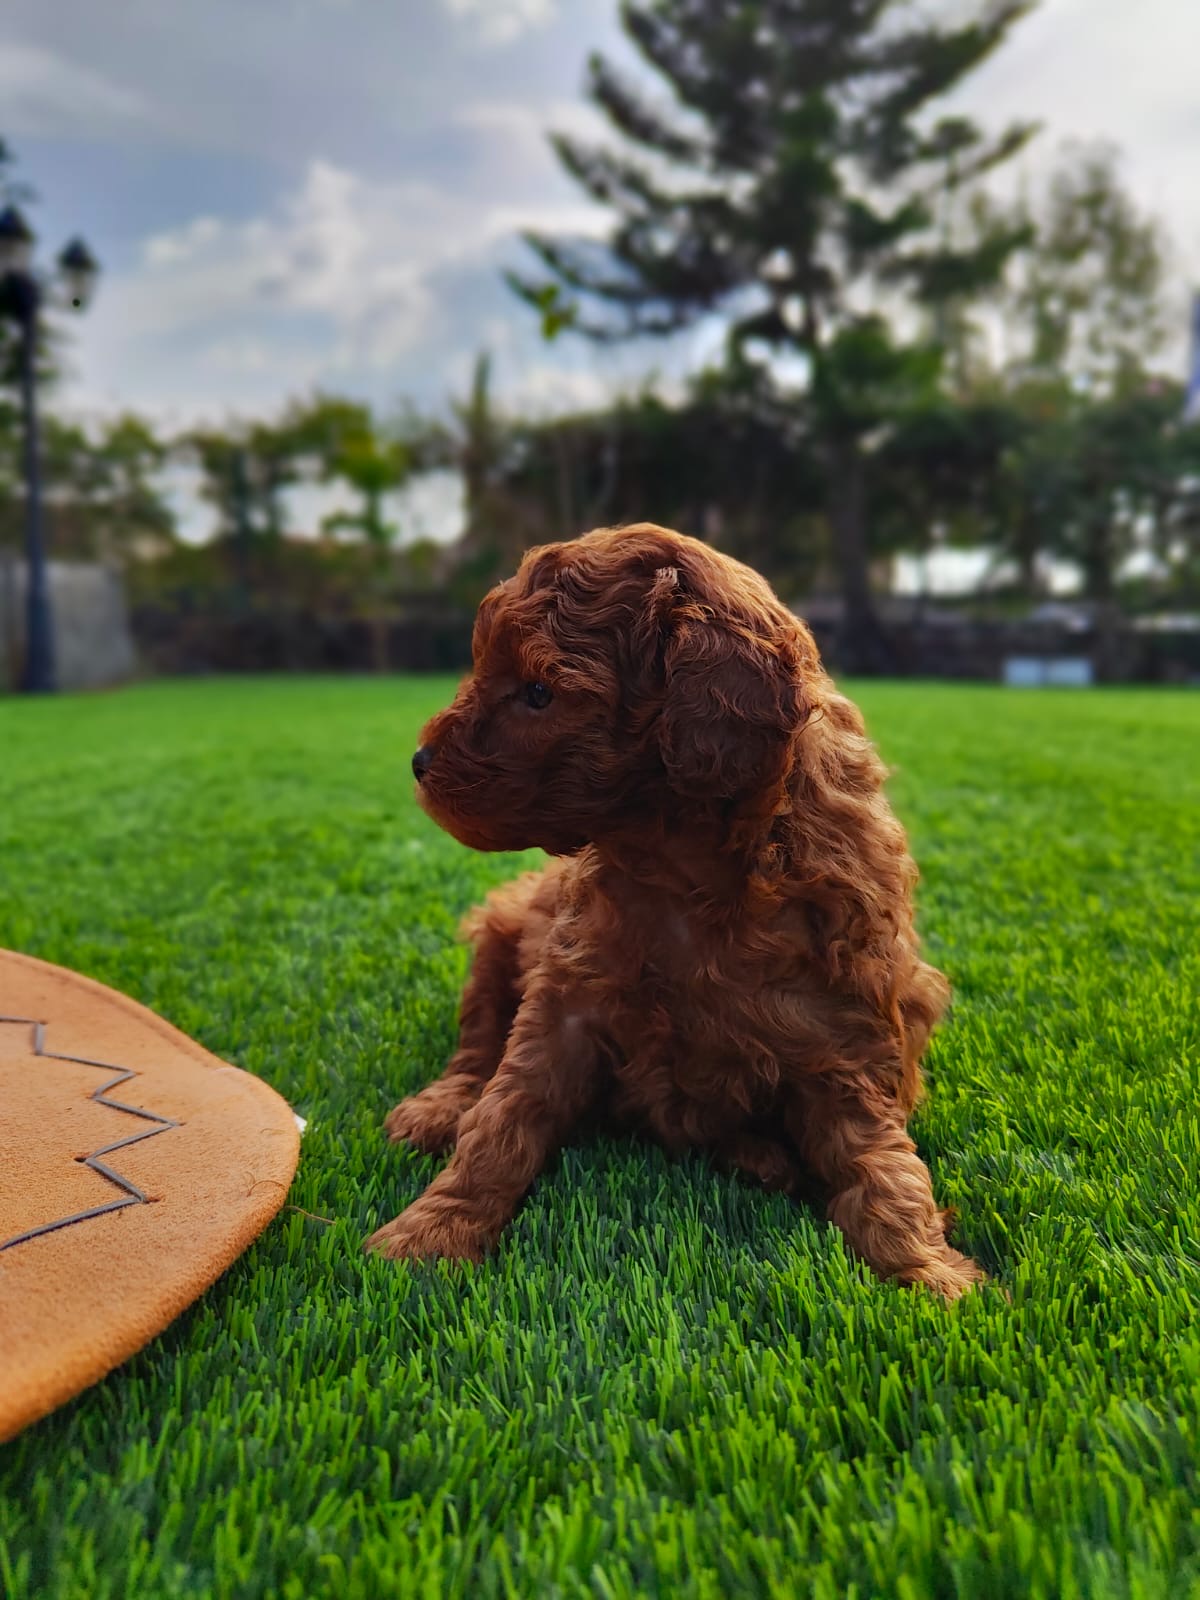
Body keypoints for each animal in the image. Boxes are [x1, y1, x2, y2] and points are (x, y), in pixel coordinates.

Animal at [369, 524, 985, 1299]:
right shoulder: (565, 1001)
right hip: (500, 932)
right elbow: (504, 1118)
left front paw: (923, 1266)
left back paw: (762, 1157)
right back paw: (438, 1108)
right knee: (477, 1044)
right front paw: (432, 1232)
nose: (418, 763)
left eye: (539, 694)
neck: (685, 870)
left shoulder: (847, 1037)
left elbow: (881, 1161)